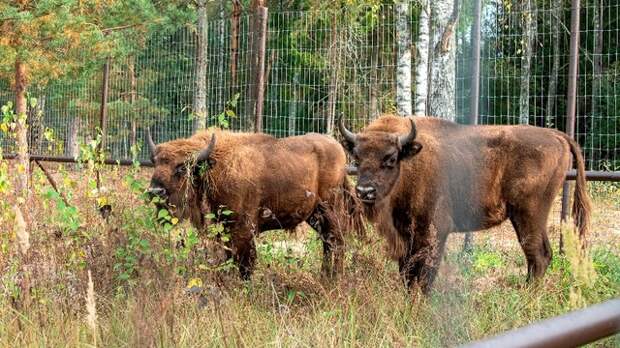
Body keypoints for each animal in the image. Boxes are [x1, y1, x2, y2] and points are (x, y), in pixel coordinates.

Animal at [146, 129, 364, 278]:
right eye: (156, 164)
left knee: (336, 241)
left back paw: (332, 278)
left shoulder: (243, 230)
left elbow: (245, 263)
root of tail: (339, 150)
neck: (215, 166)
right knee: (328, 242)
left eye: (181, 168)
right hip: (314, 215)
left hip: (330, 209)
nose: (156, 192)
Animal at [340, 115, 592, 294]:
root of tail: (555, 135)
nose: (365, 191)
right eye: (357, 159)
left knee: (538, 255)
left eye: (391, 159)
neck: (410, 165)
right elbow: (407, 273)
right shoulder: (405, 235)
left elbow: (424, 276)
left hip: (528, 214)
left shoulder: (433, 233)